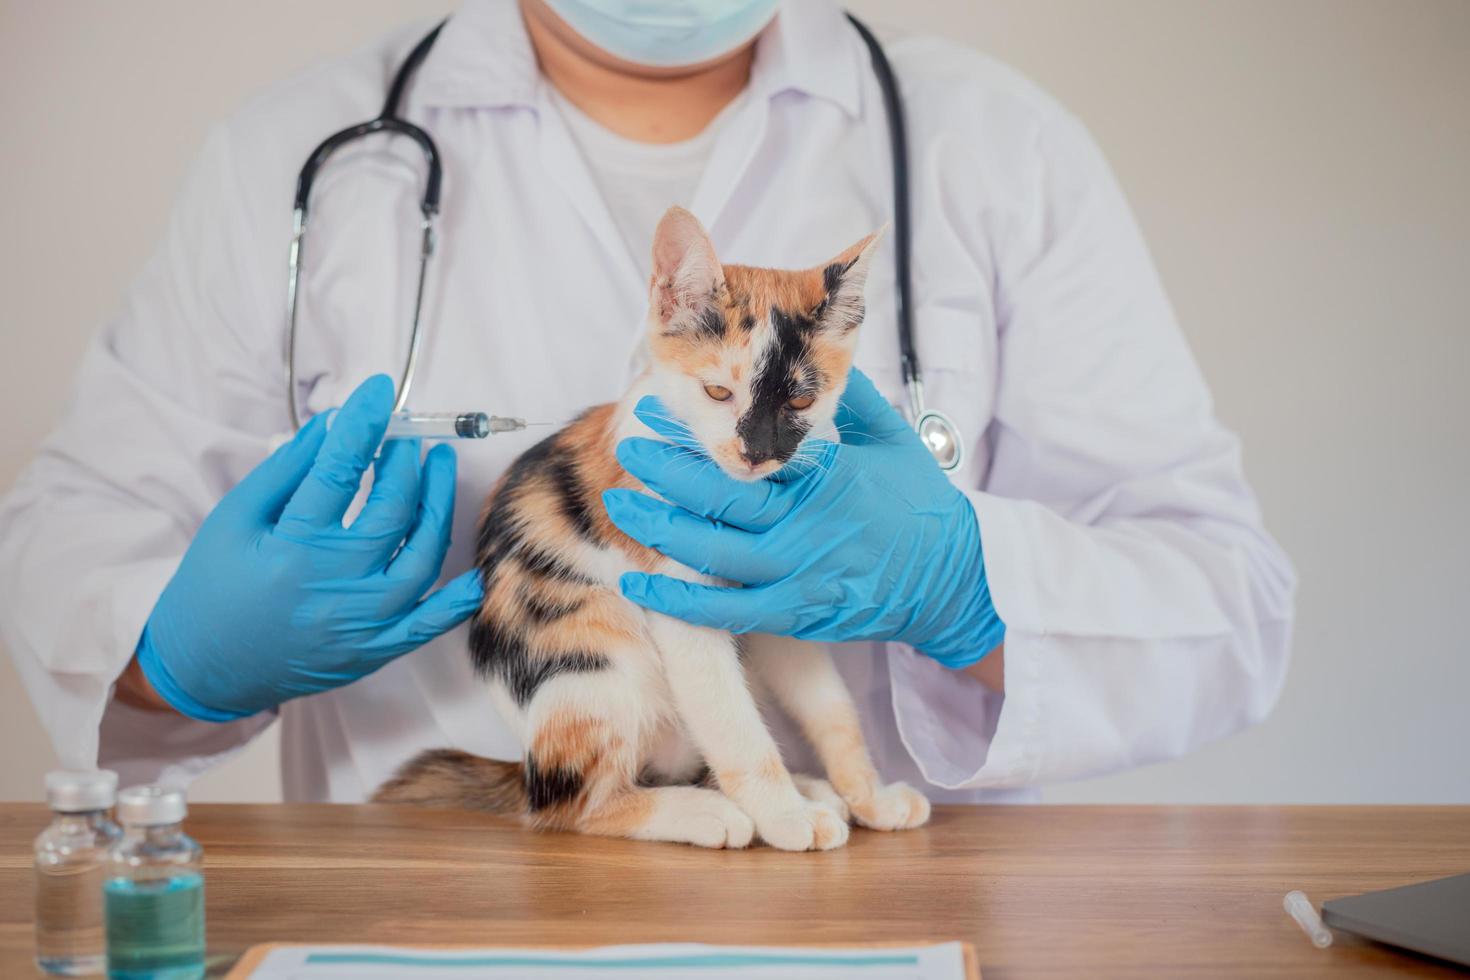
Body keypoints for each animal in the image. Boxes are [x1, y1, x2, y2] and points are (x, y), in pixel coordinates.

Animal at [376, 208, 929, 852]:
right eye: (718, 391)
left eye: (801, 400)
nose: (757, 453)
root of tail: (525, 765)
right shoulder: (676, 602)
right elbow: (733, 724)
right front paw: (783, 816)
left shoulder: (778, 607)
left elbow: (831, 708)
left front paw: (868, 794)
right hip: (596, 661)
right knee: (570, 805)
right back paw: (707, 812)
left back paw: (810, 790)